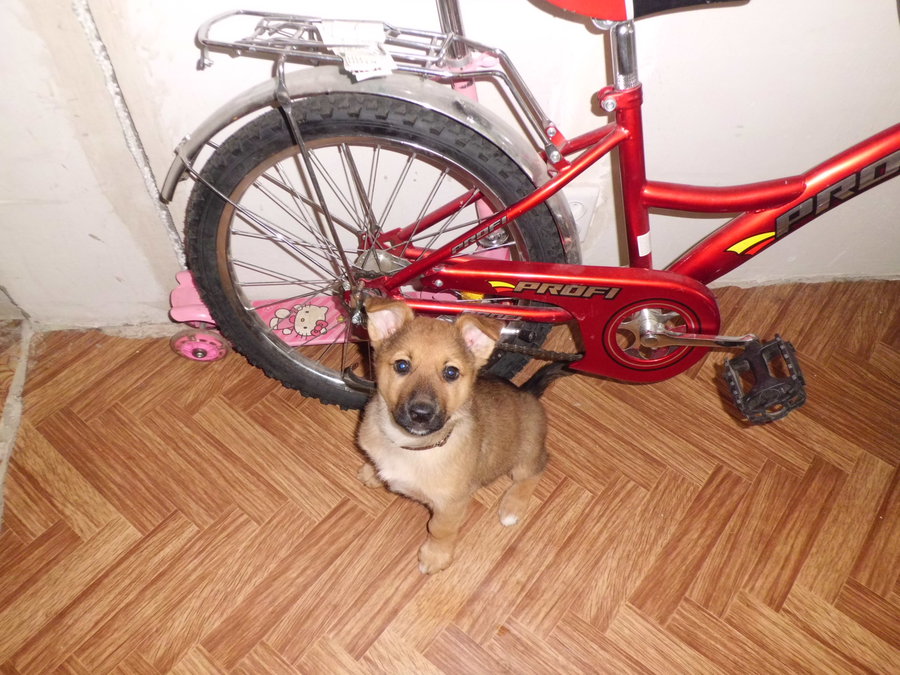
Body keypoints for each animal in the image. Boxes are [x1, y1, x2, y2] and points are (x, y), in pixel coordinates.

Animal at [357, 297, 563, 574]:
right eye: (402, 365)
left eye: (451, 372)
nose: (421, 414)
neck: (410, 445)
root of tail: (527, 393)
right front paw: (373, 472)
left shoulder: (450, 505)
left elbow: (439, 530)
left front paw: (435, 556)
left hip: (526, 455)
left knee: (535, 470)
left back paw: (512, 506)